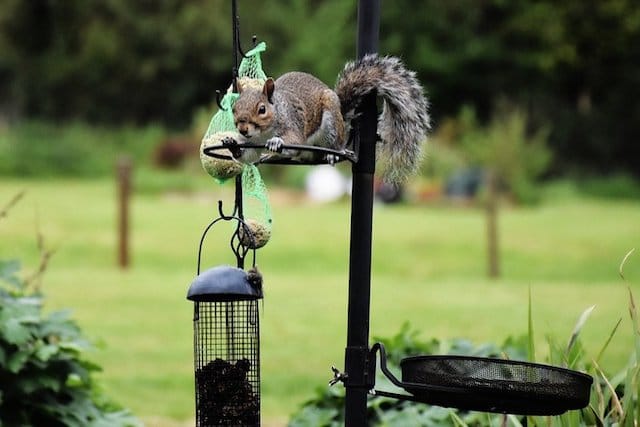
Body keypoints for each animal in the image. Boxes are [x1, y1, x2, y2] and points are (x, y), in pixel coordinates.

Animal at [231, 54, 430, 183]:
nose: (242, 129)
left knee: (324, 149)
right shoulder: (252, 142)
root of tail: (342, 120)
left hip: (331, 127)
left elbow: (293, 141)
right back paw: (269, 156)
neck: (262, 133)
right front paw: (233, 145)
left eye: (262, 109)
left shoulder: (292, 124)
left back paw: (332, 153)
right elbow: (248, 154)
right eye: (234, 108)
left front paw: (276, 142)